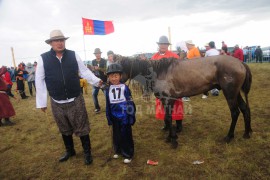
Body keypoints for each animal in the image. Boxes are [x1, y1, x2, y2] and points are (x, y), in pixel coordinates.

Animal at [113, 54, 251, 148]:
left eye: (118, 70)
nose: (109, 83)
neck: (160, 72)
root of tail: (240, 63)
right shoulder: (166, 100)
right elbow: (167, 118)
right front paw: (170, 136)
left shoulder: (168, 99)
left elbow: (169, 118)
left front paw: (173, 139)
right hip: (236, 93)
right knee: (245, 108)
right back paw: (247, 133)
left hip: (230, 93)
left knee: (235, 112)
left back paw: (229, 136)